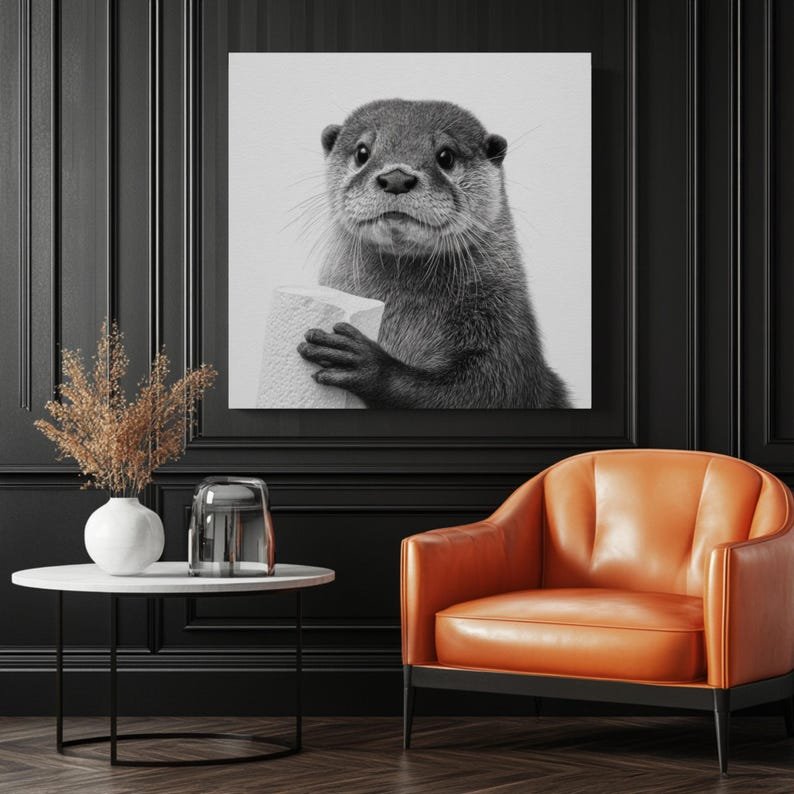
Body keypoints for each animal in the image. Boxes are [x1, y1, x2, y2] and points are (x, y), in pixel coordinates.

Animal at [297, 98, 571, 409]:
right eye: (362, 152)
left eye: (446, 156)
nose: (396, 177)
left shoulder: (507, 336)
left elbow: (482, 392)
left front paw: (367, 364)